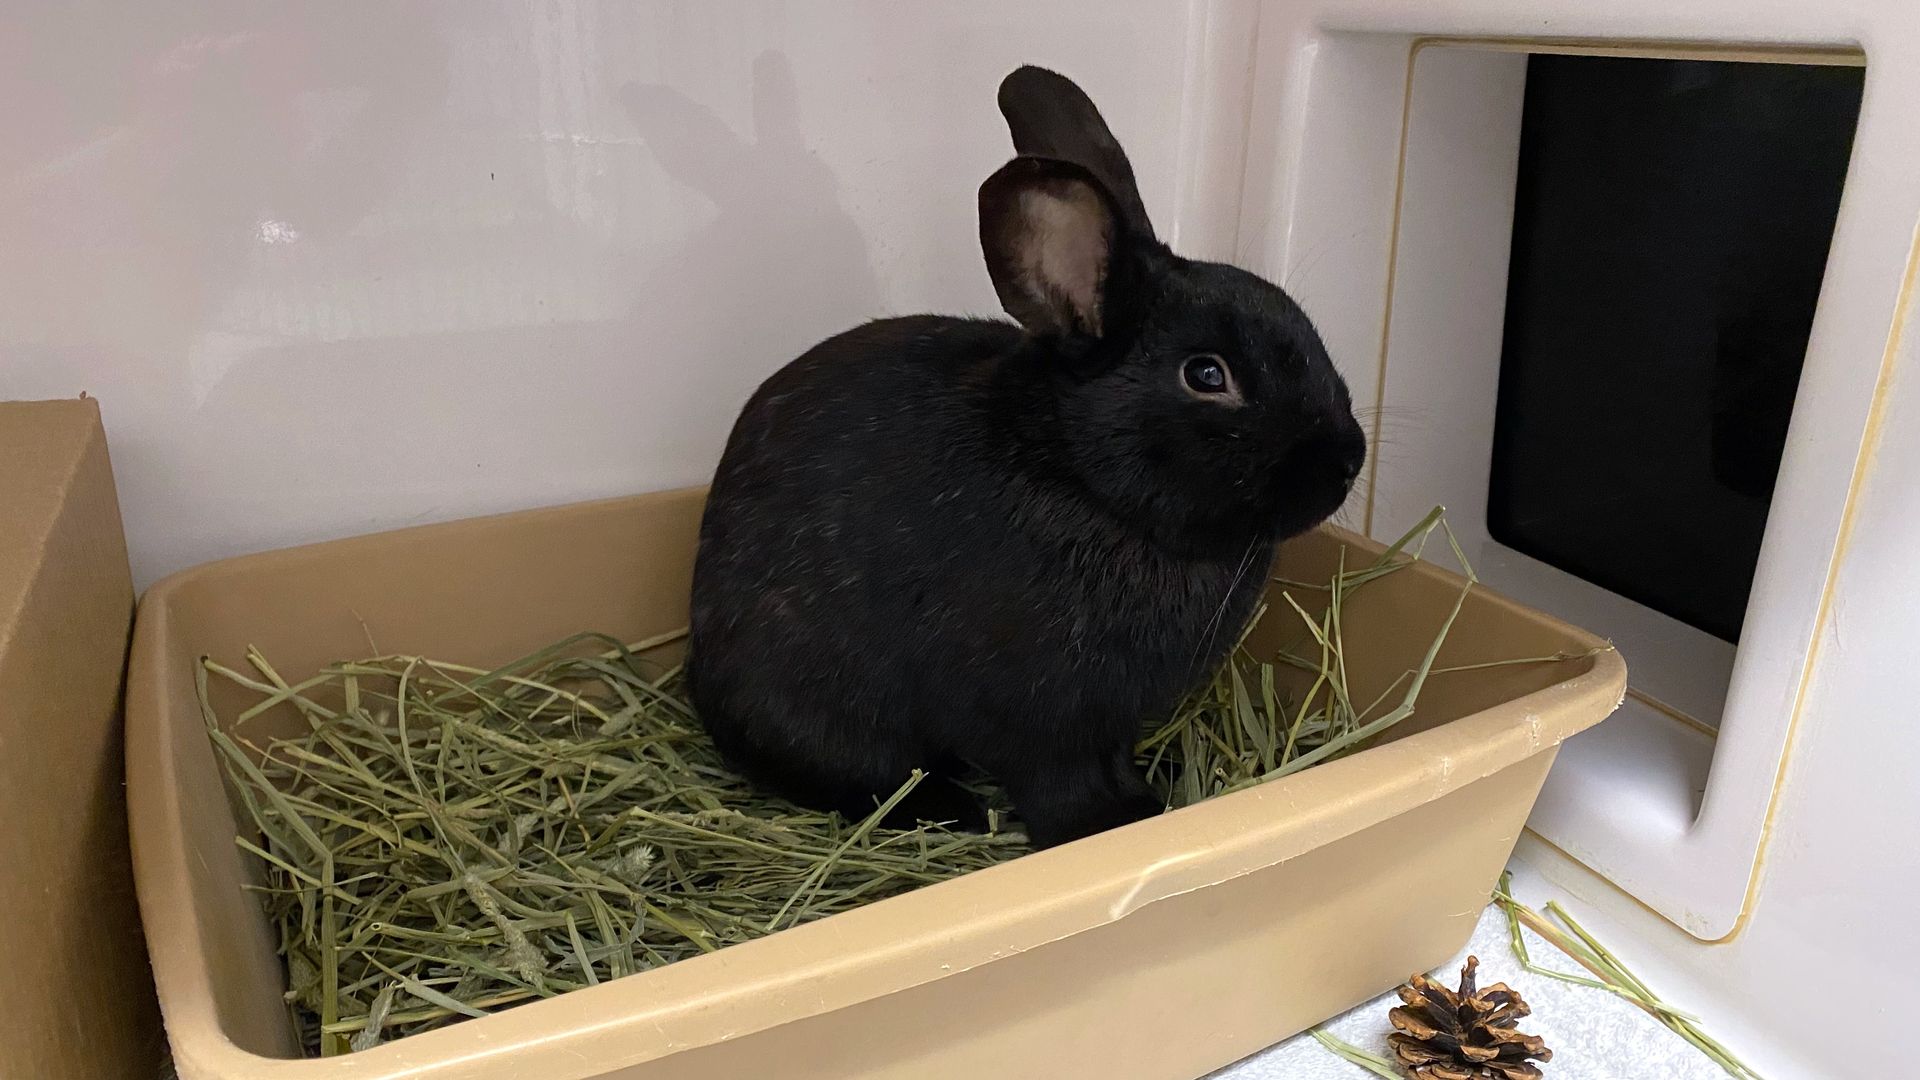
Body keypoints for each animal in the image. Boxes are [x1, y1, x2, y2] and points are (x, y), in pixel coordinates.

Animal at [685, 65, 1366, 849]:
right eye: (1206, 375)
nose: (1348, 460)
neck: (1089, 484)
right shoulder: (1039, 718)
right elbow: (1056, 779)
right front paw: (1104, 825)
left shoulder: (1109, 722)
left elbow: (1113, 758)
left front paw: (1146, 797)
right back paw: (948, 808)